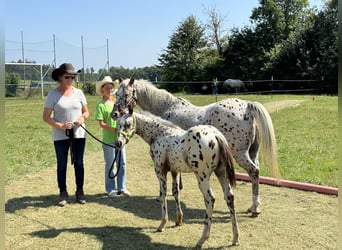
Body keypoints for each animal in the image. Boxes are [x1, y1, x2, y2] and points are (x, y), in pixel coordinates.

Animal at [111, 78, 280, 217]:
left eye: (125, 94)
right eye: (116, 93)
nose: (114, 114)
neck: (166, 108)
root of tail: (248, 107)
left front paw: (162, 195)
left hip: (240, 155)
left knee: (254, 172)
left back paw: (255, 208)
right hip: (252, 152)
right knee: (255, 173)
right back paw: (254, 206)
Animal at [114, 109, 238, 248]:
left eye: (128, 124)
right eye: (118, 124)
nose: (118, 143)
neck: (160, 134)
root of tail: (216, 135)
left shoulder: (160, 171)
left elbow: (163, 194)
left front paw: (162, 224)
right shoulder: (175, 171)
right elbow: (175, 192)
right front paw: (179, 220)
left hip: (202, 176)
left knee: (210, 199)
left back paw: (202, 239)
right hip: (221, 173)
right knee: (229, 197)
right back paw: (235, 238)